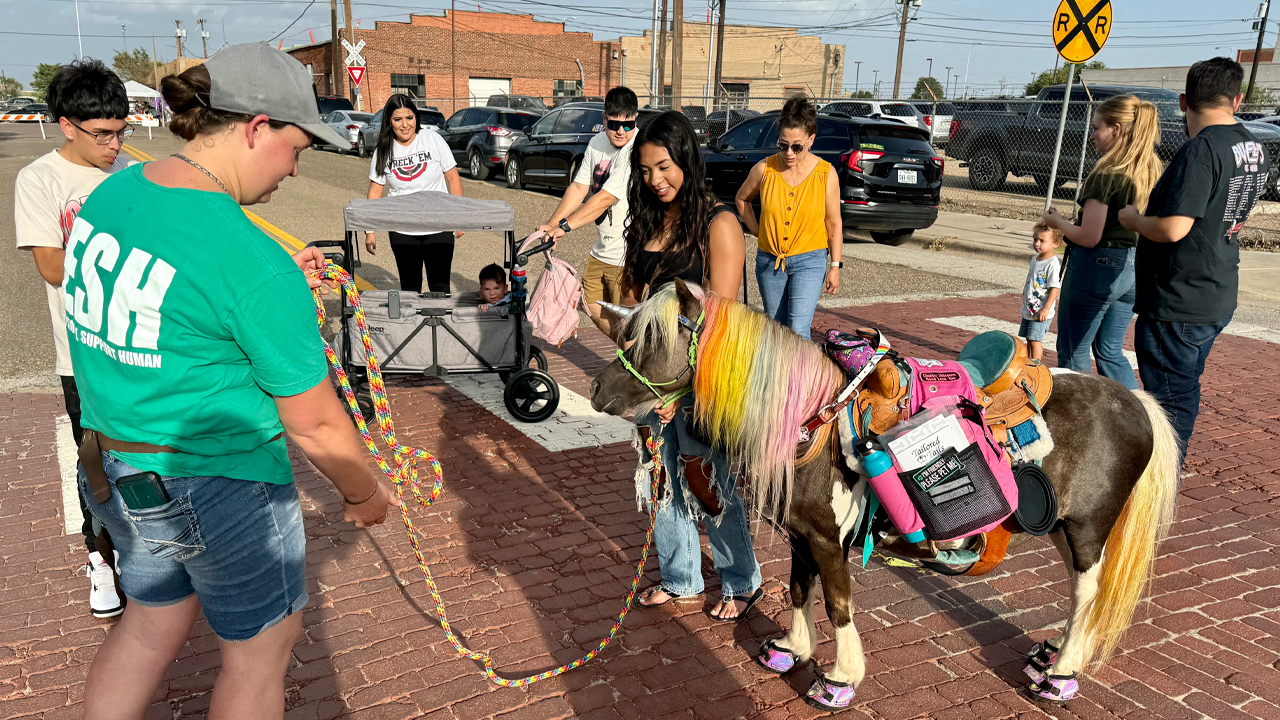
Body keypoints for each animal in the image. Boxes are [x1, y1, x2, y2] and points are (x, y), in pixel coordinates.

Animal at [588, 280, 1177, 707]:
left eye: (652, 338)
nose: (597, 391)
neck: (810, 420)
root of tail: (1136, 401)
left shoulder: (828, 541)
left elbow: (838, 604)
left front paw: (840, 678)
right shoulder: (803, 535)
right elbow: (799, 591)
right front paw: (791, 650)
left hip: (1087, 527)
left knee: (1087, 591)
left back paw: (1061, 673)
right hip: (1058, 524)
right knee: (1081, 590)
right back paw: (1053, 652)